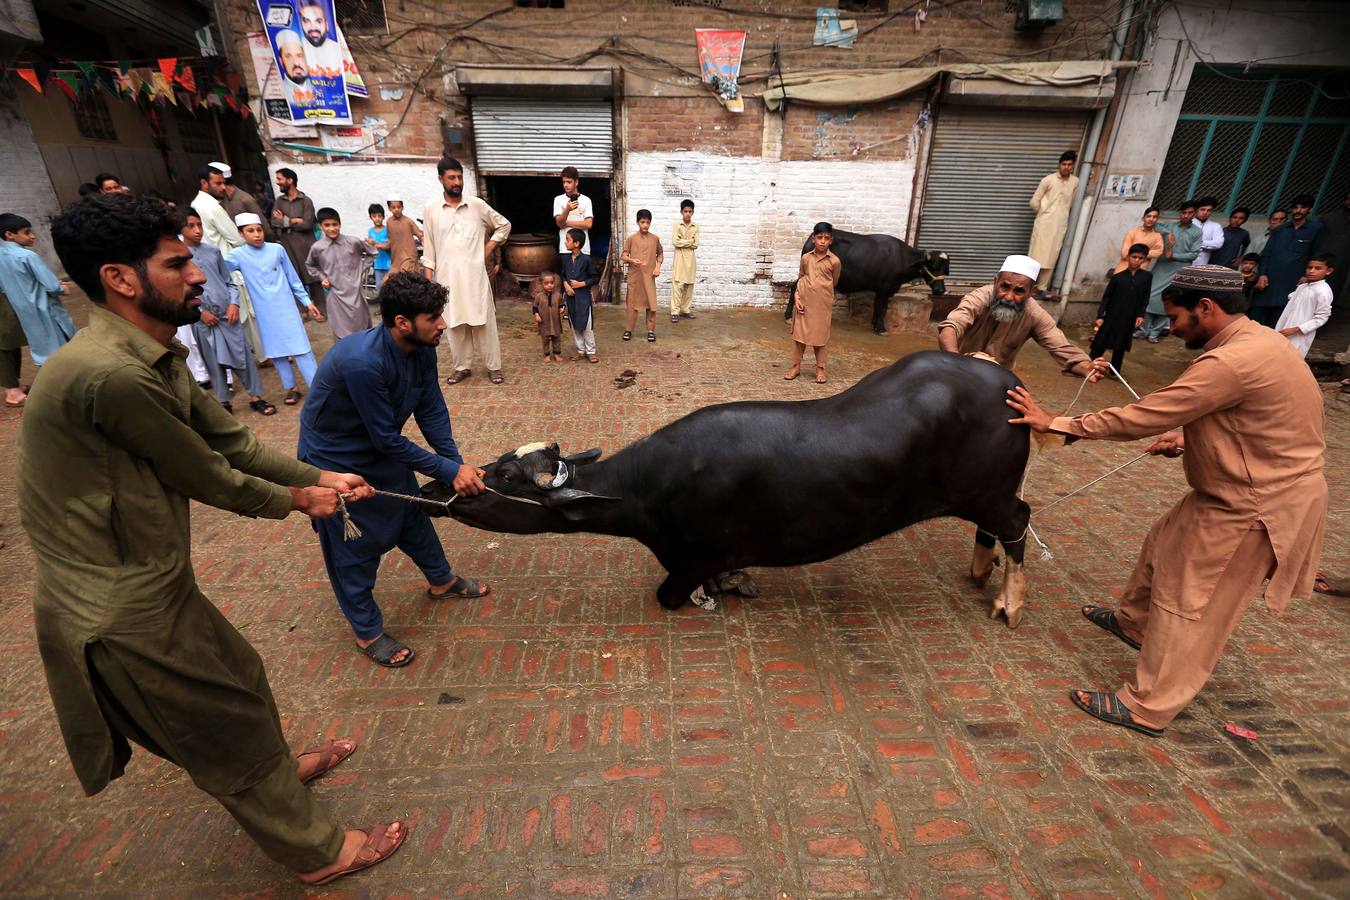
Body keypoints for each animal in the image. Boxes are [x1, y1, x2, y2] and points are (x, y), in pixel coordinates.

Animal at [421, 350, 1031, 626]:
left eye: (505, 478)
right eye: (501, 462)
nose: (432, 490)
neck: (645, 492)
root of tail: (1009, 383)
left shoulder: (687, 558)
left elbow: (670, 595)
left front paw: (719, 590)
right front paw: (737, 583)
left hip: (993, 494)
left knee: (1018, 523)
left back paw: (1008, 602)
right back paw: (981, 572)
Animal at [788, 229, 950, 334]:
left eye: (946, 269)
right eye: (934, 266)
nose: (941, 290)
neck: (902, 259)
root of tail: (811, 239)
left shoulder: (883, 290)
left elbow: (879, 307)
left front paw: (874, 324)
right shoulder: (884, 289)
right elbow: (881, 308)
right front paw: (881, 328)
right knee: (794, 288)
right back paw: (789, 316)